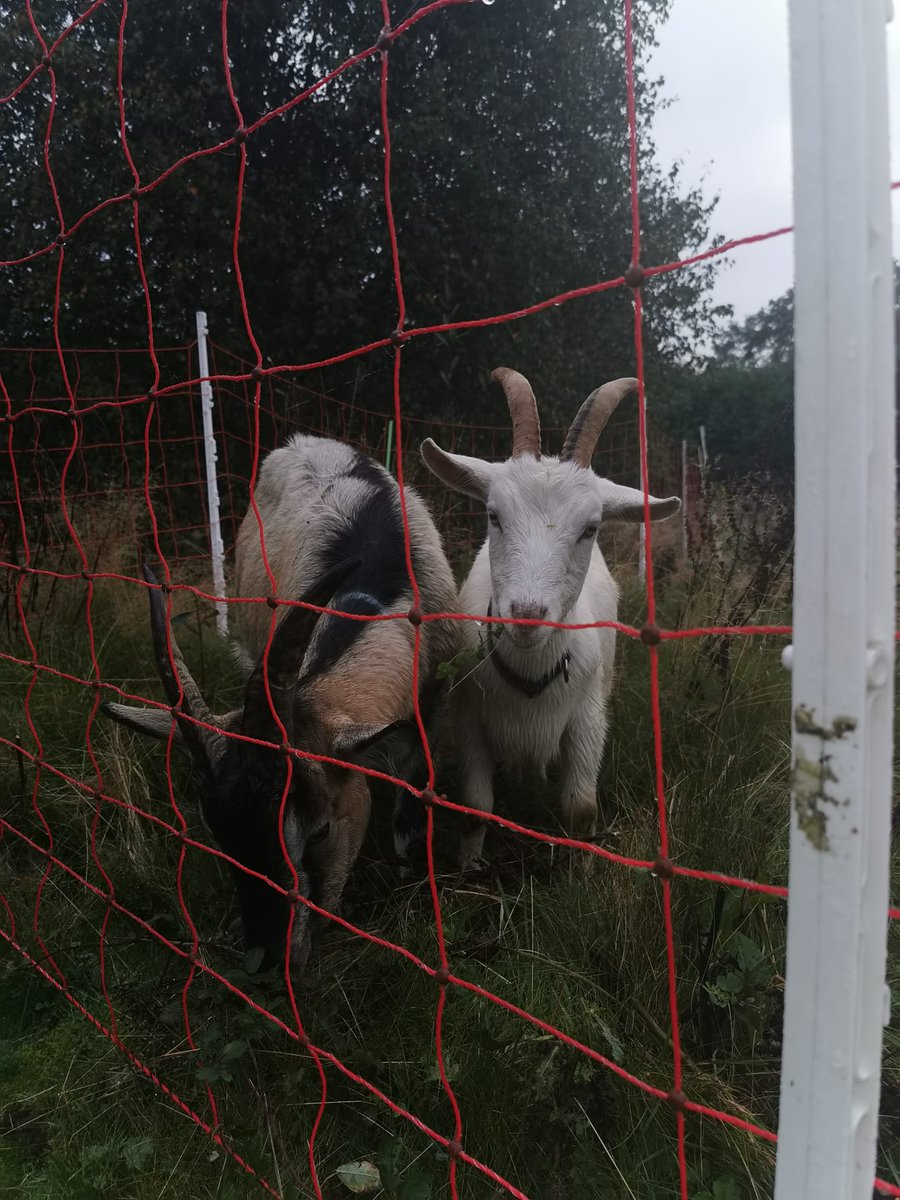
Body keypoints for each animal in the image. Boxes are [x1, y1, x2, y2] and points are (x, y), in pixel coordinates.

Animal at [420, 369, 680, 866]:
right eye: (493, 515)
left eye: (591, 528)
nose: (527, 616)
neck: (529, 675)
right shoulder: (469, 719)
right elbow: (476, 805)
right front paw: (469, 868)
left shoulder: (587, 718)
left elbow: (580, 809)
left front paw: (581, 870)